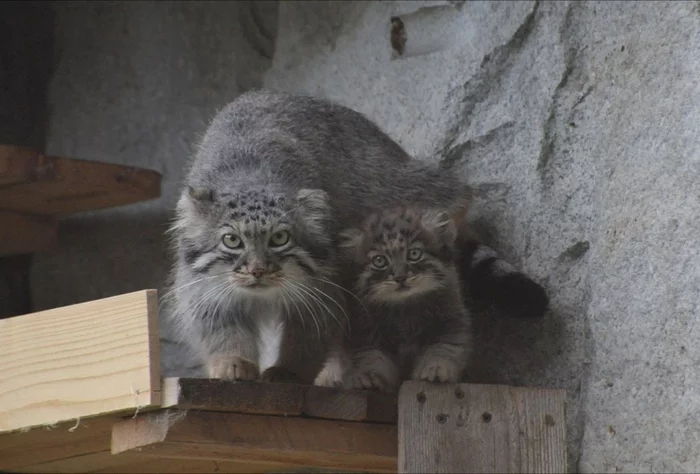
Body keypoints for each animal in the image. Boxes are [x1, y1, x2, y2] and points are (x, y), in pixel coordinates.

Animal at [338, 206, 470, 390]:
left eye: (414, 254)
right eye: (379, 260)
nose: (400, 277)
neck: (405, 308)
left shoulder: (450, 323)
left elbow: (443, 349)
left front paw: (436, 367)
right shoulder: (365, 333)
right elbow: (372, 357)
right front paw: (368, 376)